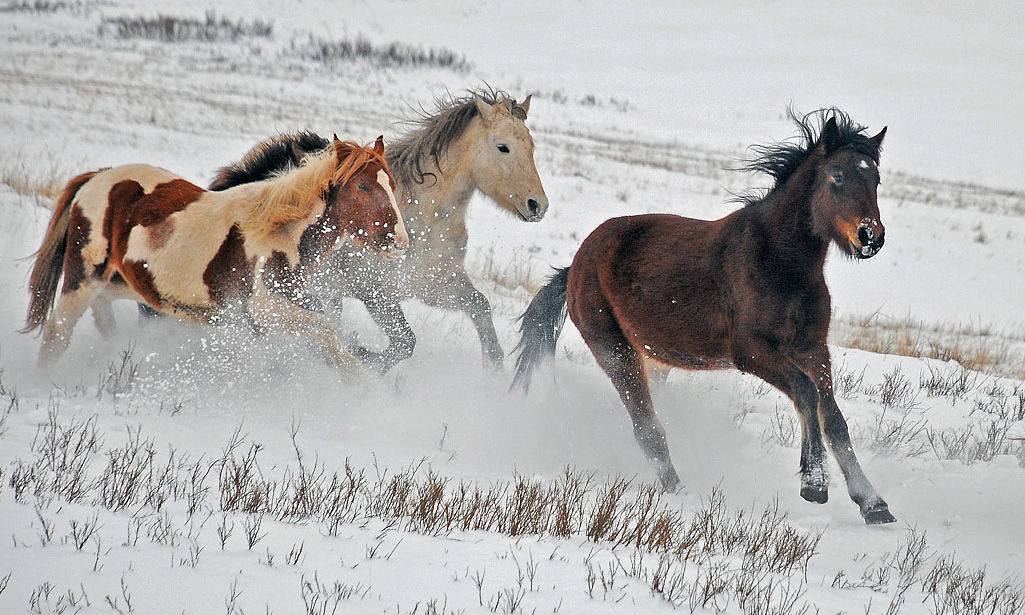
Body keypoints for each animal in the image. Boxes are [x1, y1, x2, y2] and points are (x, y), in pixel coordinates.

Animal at [24, 135, 407, 375]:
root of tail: (96, 178)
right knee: (57, 334)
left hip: (117, 284)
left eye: (391, 184)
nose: (399, 241)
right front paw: (359, 382)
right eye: (362, 185)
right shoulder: (263, 310)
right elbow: (326, 331)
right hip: (82, 279)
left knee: (103, 320)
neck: (278, 235)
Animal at [512, 109, 897, 522]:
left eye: (875, 179)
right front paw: (814, 485)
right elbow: (807, 394)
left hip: (652, 358)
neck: (781, 263)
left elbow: (834, 419)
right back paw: (679, 493)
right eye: (836, 175)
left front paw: (873, 503)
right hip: (614, 351)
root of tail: (575, 266)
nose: (870, 236)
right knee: (646, 427)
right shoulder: (751, 352)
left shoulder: (812, 348)